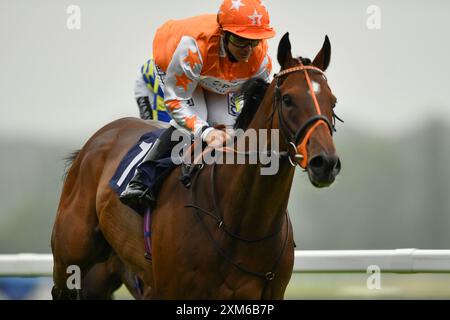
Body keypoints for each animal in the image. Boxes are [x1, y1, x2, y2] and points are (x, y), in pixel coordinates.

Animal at [51, 33, 340, 300]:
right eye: (288, 99)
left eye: (333, 101)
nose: (325, 163)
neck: (240, 223)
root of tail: (97, 139)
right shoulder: (173, 290)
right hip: (73, 258)